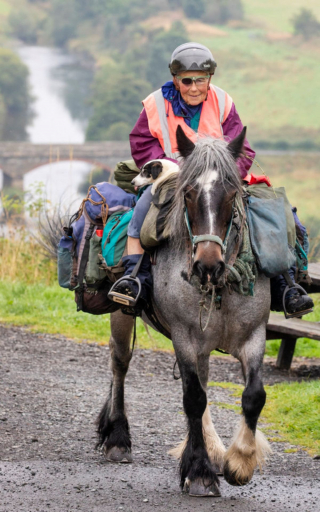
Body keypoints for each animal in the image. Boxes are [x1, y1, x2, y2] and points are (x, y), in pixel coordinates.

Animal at [96, 126, 272, 498]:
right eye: (189, 194)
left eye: (231, 193)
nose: (207, 265)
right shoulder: (184, 338)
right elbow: (193, 399)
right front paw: (200, 473)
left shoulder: (254, 335)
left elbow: (253, 396)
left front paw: (239, 463)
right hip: (122, 316)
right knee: (119, 364)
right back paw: (118, 439)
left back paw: (215, 451)